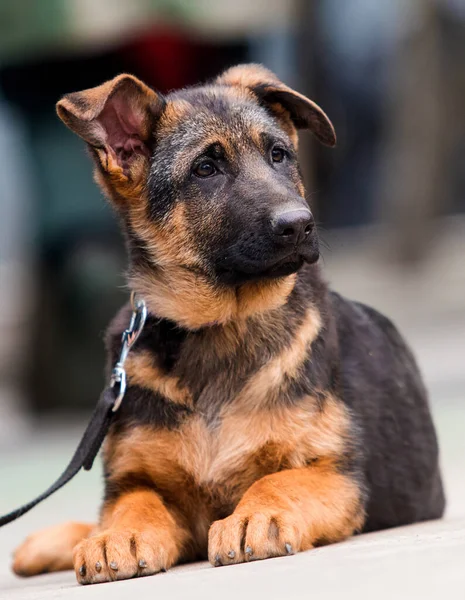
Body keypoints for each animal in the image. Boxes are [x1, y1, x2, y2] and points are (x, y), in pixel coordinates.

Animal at [12, 64, 444, 580]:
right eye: (206, 169)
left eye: (278, 155)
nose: (300, 224)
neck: (221, 324)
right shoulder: (137, 479)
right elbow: (132, 504)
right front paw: (119, 535)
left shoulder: (336, 473)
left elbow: (277, 480)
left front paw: (253, 517)